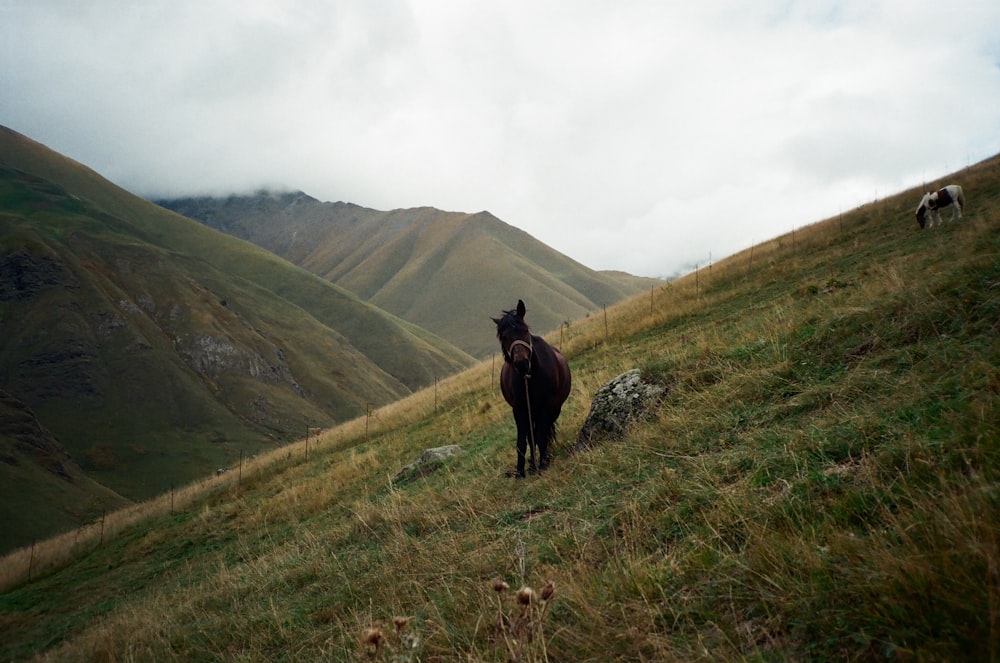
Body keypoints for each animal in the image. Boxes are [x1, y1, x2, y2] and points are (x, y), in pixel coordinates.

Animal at [492, 300, 572, 478]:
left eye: (525, 330)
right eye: (504, 337)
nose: (522, 364)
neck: (531, 376)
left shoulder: (546, 406)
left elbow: (541, 435)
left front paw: (542, 464)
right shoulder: (519, 409)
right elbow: (523, 440)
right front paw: (521, 471)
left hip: (553, 409)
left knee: (543, 431)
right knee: (531, 435)